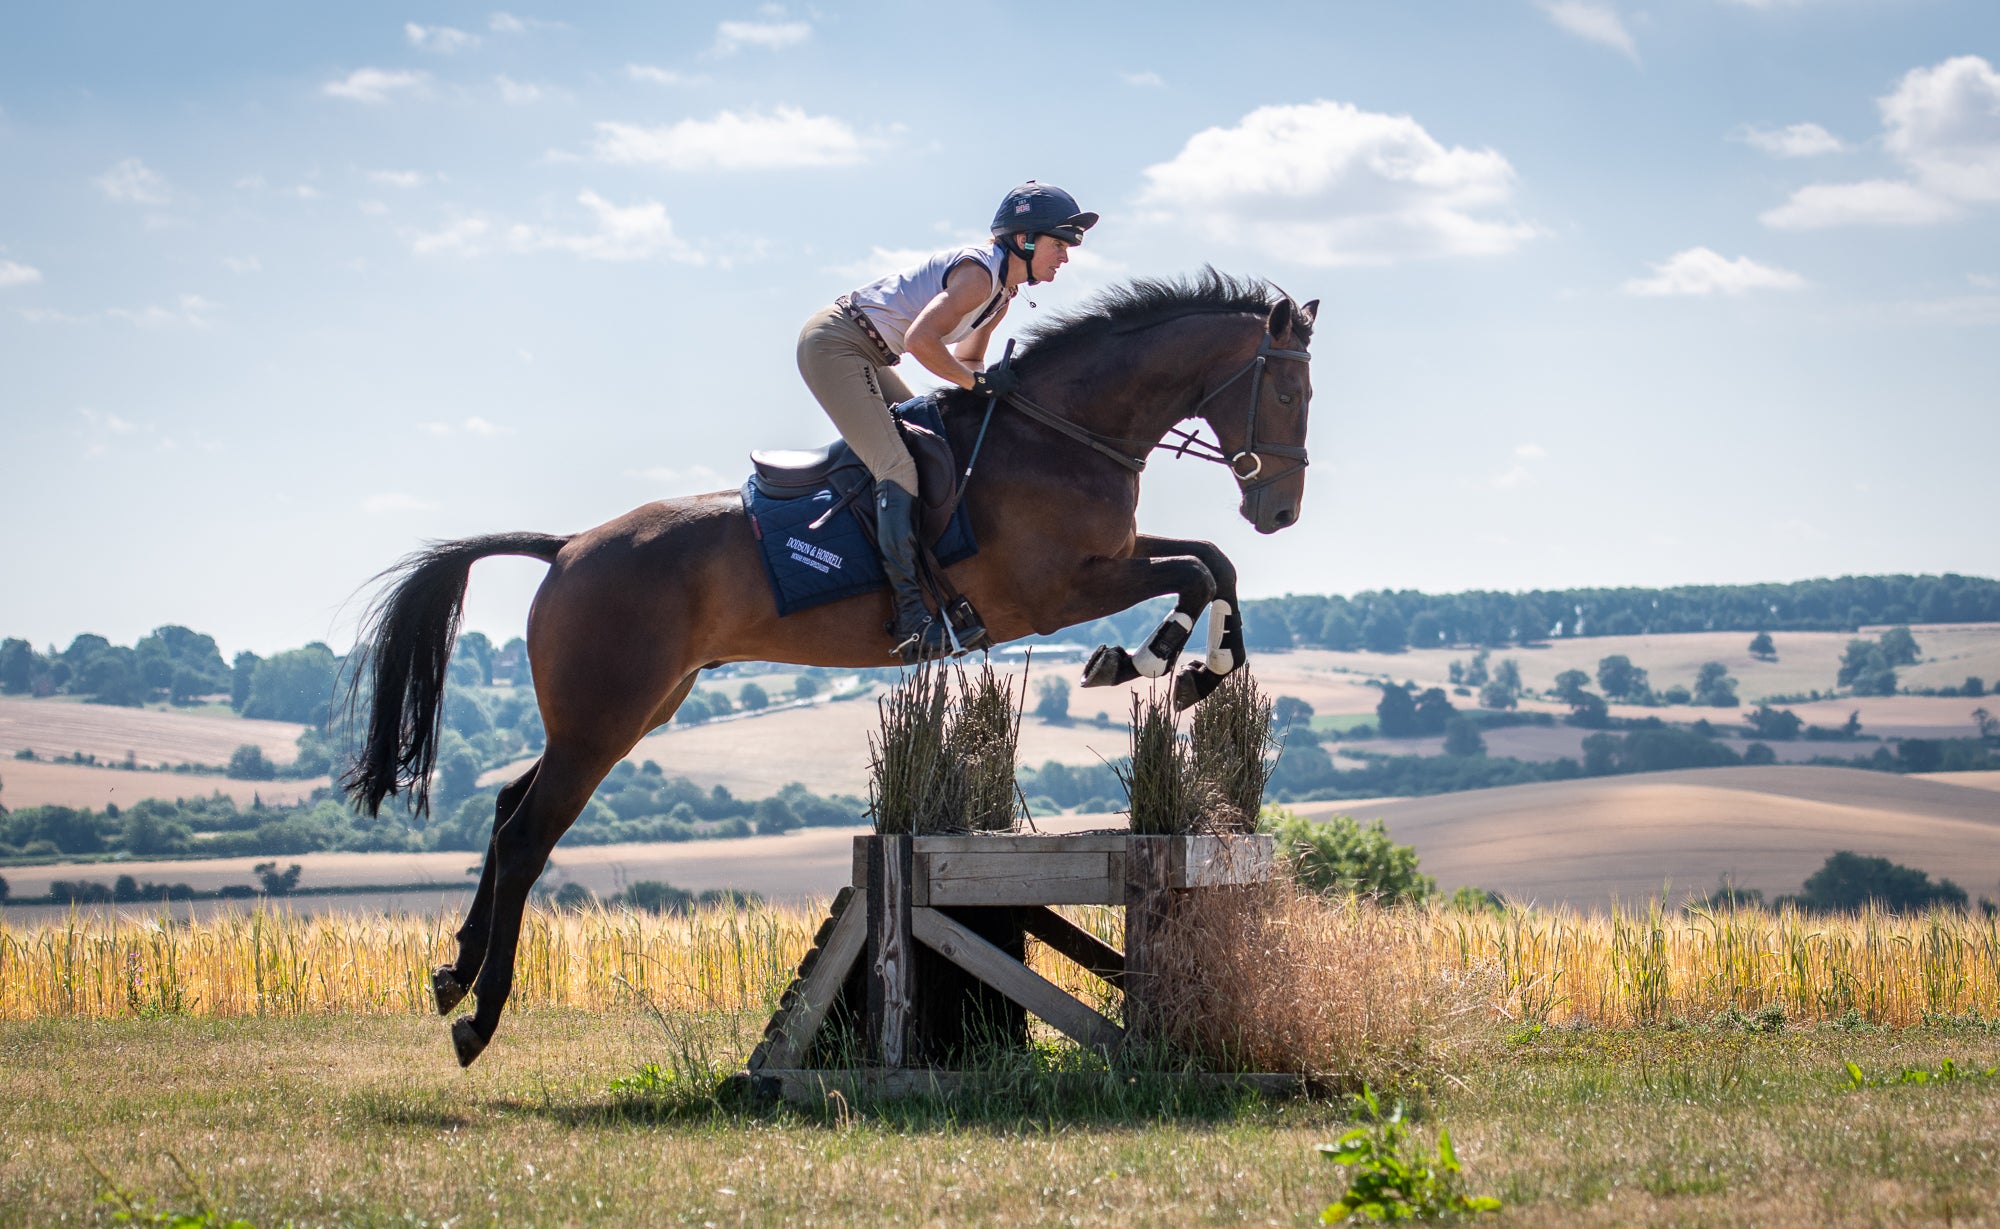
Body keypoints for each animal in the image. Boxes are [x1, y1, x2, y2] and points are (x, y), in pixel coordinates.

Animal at [343, 270, 1317, 1066]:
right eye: (1288, 389)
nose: (1280, 510)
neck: (1065, 434)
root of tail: (570, 545)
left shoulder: (1110, 559)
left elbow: (1213, 562)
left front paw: (1196, 669)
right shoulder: (1062, 586)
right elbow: (1198, 569)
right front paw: (1144, 659)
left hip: (633, 709)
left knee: (509, 804)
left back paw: (453, 974)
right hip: (603, 718)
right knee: (525, 835)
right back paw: (479, 1016)